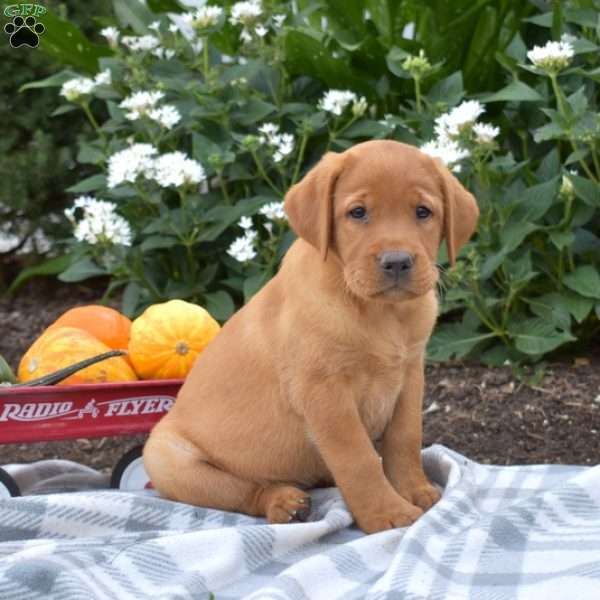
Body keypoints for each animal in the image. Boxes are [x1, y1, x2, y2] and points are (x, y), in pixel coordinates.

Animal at [144, 141, 478, 536]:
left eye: (423, 212)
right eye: (358, 212)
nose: (396, 262)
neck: (381, 314)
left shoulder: (410, 375)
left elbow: (405, 439)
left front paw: (415, 491)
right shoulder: (323, 391)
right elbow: (358, 458)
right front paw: (388, 513)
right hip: (167, 459)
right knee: (245, 491)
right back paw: (284, 503)